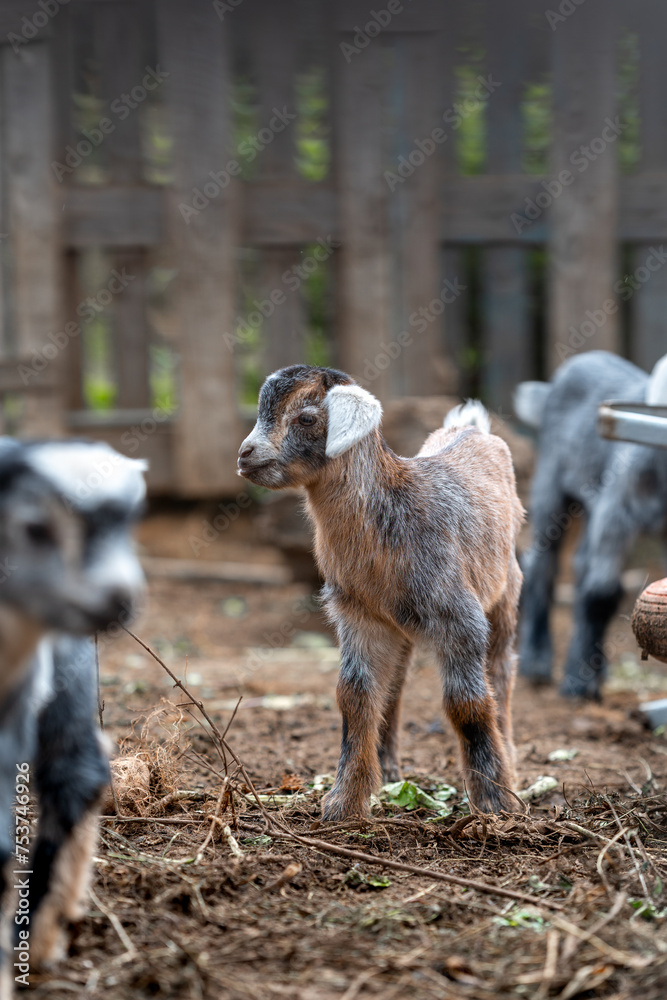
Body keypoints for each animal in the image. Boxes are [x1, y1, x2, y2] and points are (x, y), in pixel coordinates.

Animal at [238, 366, 524, 820]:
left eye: (306, 417)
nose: (246, 455)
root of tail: (472, 428)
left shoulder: (460, 618)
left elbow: (466, 703)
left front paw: (495, 800)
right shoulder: (358, 614)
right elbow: (354, 697)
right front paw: (344, 801)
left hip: (505, 592)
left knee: (501, 672)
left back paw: (508, 755)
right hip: (400, 624)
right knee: (396, 684)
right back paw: (389, 769)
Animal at [515, 349, 667, 699]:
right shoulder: (617, 508)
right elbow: (602, 593)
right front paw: (577, 684)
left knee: (581, 563)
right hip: (551, 484)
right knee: (542, 565)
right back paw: (537, 659)